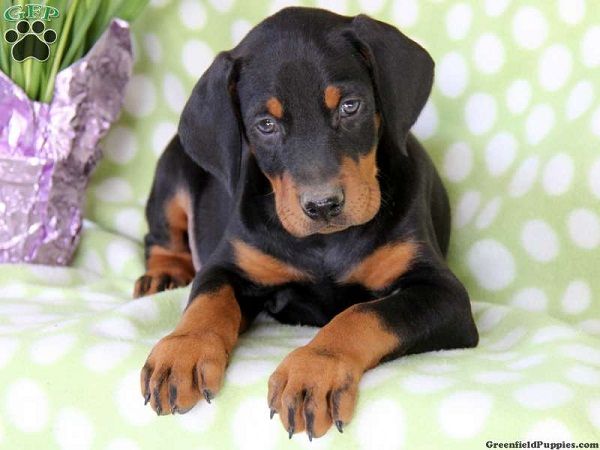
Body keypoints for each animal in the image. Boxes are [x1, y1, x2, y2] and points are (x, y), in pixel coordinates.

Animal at [136, 7, 478, 442]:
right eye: (266, 124)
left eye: (350, 106)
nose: (323, 205)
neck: (324, 244)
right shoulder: (231, 265)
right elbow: (207, 301)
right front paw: (182, 349)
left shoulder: (444, 294)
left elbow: (364, 314)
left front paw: (314, 369)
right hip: (171, 172)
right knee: (160, 237)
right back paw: (162, 275)